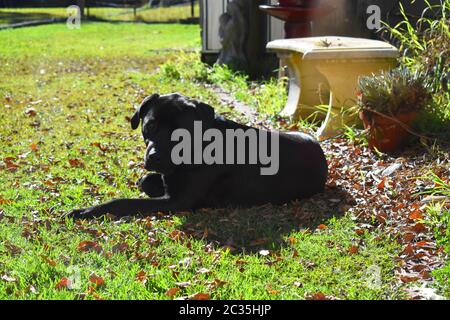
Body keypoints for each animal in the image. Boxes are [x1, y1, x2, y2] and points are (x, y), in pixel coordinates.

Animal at [67, 92, 326, 218]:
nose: (154, 157)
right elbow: (146, 180)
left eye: (180, 134)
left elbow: (124, 202)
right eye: (150, 126)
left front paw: (86, 211)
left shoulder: (177, 201)